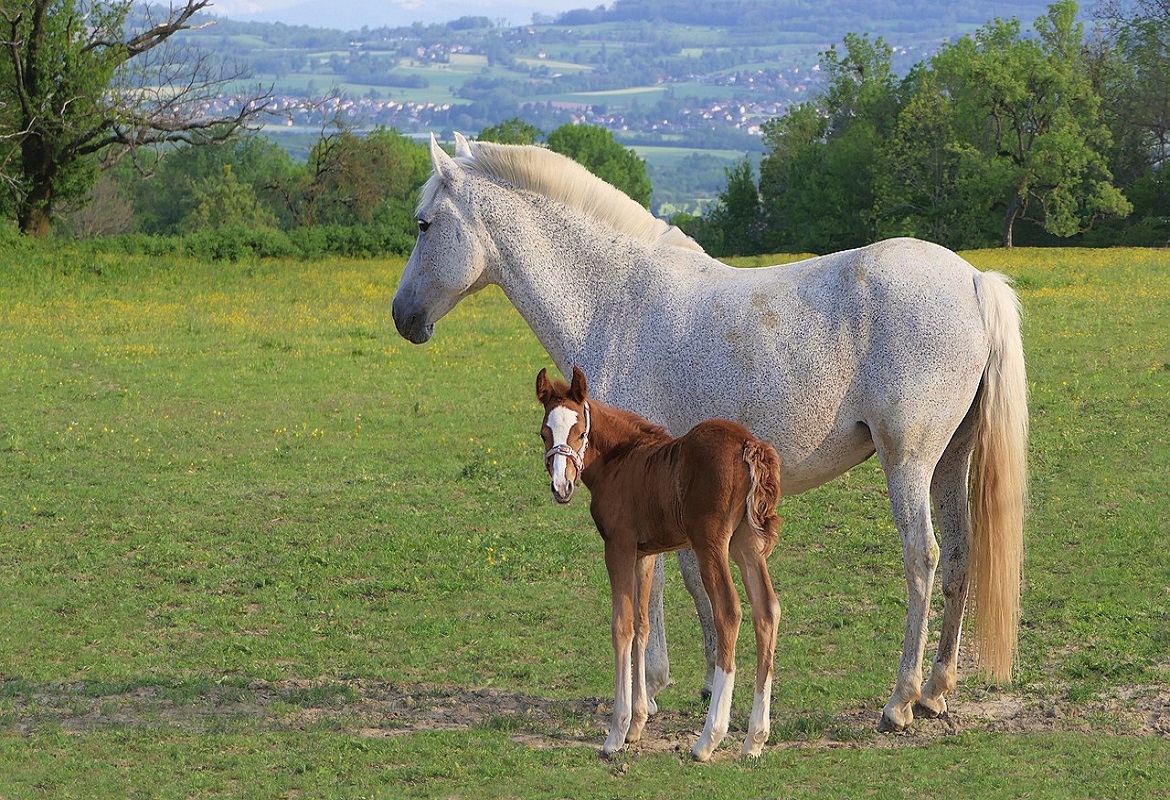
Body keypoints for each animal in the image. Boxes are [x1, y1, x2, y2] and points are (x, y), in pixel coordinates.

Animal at [393, 132, 1024, 739]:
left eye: (425, 224)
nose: (403, 317)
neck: (612, 301)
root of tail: (972, 280)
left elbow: (653, 590)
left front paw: (645, 696)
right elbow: (693, 578)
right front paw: (700, 680)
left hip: (908, 461)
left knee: (923, 558)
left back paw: (900, 702)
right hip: (951, 460)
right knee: (960, 555)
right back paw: (937, 690)